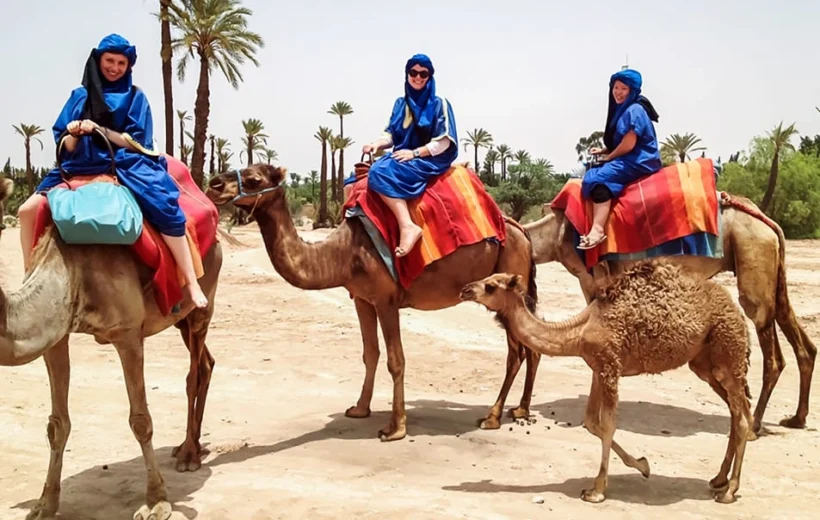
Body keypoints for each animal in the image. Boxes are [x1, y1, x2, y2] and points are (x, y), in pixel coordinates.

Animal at [0, 221, 223, 516]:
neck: (70, 270)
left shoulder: (128, 333)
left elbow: (141, 421)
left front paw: (156, 502)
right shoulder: (57, 335)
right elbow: (57, 425)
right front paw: (44, 506)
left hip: (203, 304)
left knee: (193, 373)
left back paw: (188, 454)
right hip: (180, 322)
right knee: (206, 363)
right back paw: (191, 447)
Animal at [205, 165, 540, 440]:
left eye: (254, 179)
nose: (214, 184)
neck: (344, 253)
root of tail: (521, 232)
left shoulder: (386, 299)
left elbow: (396, 359)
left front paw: (395, 427)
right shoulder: (362, 300)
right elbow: (370, 354)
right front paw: (359, 409)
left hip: (505, 284)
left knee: (515, 353)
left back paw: (492, 417)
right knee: (530, 348)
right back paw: (520, 409)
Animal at [458, 260, 752, 504]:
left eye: (491, 285)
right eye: (487, 277)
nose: (465, 289)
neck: (578, 331)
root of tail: (737, 311)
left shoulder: (610, 366)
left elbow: (608, 425)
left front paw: (597, 490)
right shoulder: (598, 369)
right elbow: (591, 422)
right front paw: (643, 465)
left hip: (728, 353)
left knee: (742, 419)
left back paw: (729, 491)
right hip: (704, 364)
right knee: (735, 413)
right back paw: (718, 479)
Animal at [524, 196, 816, 434]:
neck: (554, 234)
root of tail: (768, 223)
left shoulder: (594, 278)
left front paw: (590, 420)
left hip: (752, 252)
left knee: (769, 344)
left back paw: (755, 423)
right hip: (771, 267)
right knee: (798, 336)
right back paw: (796, 418)